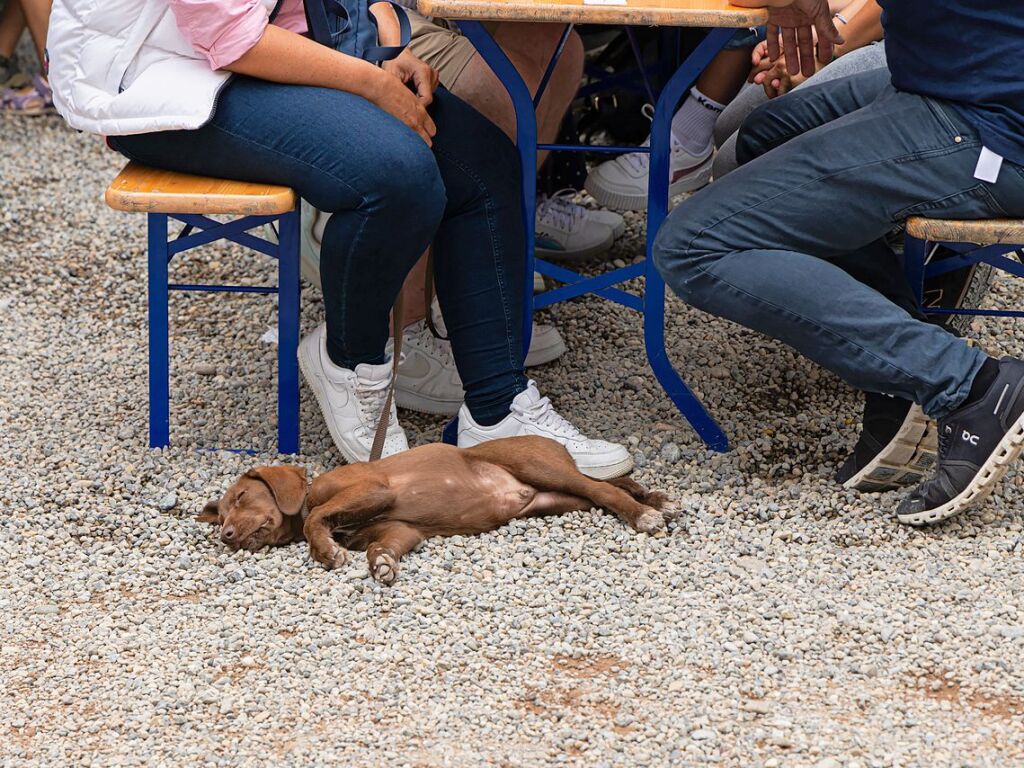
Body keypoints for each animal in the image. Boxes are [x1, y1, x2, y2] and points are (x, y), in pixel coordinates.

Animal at [198, 438, 671, 581]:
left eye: (241, 497)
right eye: (220, 517)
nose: (226, 536)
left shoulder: (375, 490)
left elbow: (317, 516)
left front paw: (325, 550)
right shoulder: (400, 528)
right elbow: (383, 547)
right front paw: (381, 563)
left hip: (539, 466)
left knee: (604, 490)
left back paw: (645, 513)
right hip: (552, 499)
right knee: (605, 487)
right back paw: (654, 498)